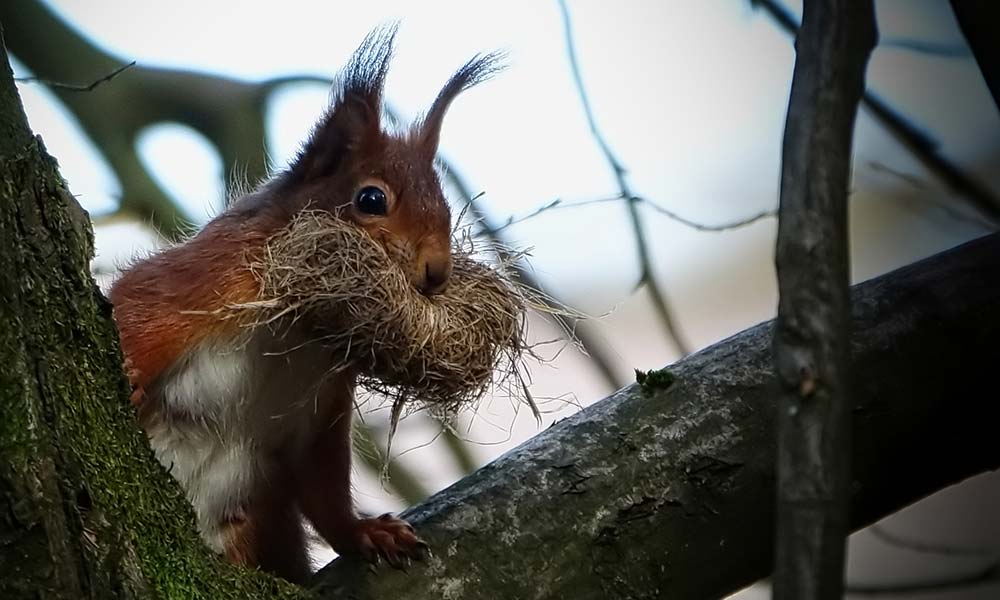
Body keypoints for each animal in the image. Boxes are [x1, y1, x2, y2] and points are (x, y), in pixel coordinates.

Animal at [109, 25, 500, 584]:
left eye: (446, 208)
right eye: (371, 199)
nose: (436, 273)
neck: (296, 326)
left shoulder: (323, 406)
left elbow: (323, 482)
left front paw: (365, 532)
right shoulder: (203, 282)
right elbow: (135, 311)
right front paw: (130, 374)